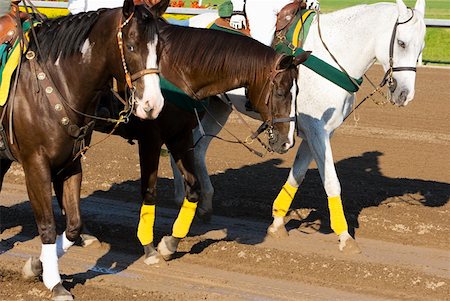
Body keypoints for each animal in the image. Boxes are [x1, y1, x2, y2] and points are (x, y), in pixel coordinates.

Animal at [0, 1, 165, 298]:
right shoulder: (35, 165)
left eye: (160, 48)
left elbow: (74, 226)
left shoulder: (70, 163)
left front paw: (37, 266)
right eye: (131, 45)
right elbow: (47, 225)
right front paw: (55, 284)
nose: (152, 105)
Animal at [103, 21, 312, 264]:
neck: (175, 72)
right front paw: (150, 247)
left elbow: (193, 189)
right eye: (280, 92)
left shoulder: (180, 136)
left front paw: (170, 243)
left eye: (298, 92)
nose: (287, 142)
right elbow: (150, 191)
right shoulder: (151, 140)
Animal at [171, 0, 426, 253]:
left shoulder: (318, 132)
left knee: (198, 147)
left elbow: (298, 174)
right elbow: (332, 182)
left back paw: (202, 203)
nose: (405, 94)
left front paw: (277, 223)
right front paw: (345, 236)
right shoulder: (316, 130)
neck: (333, 54)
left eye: (421, 47)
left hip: (219, 108)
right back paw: (181, 197)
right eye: (402, 43)